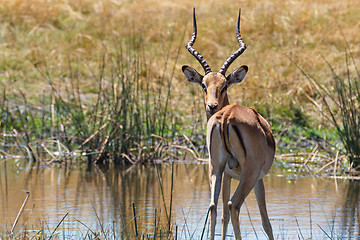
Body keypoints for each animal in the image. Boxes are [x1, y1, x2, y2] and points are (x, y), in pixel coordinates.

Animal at [181, 8, 274, 239]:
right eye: (204, 85)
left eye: (223, 86)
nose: (212, 106)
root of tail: (227, 116)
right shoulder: (258, 178)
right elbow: (266, 222)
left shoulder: (227, 174)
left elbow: (221, 214)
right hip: (249, 175)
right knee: (234, 205)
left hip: (215, 166)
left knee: (214, 207)